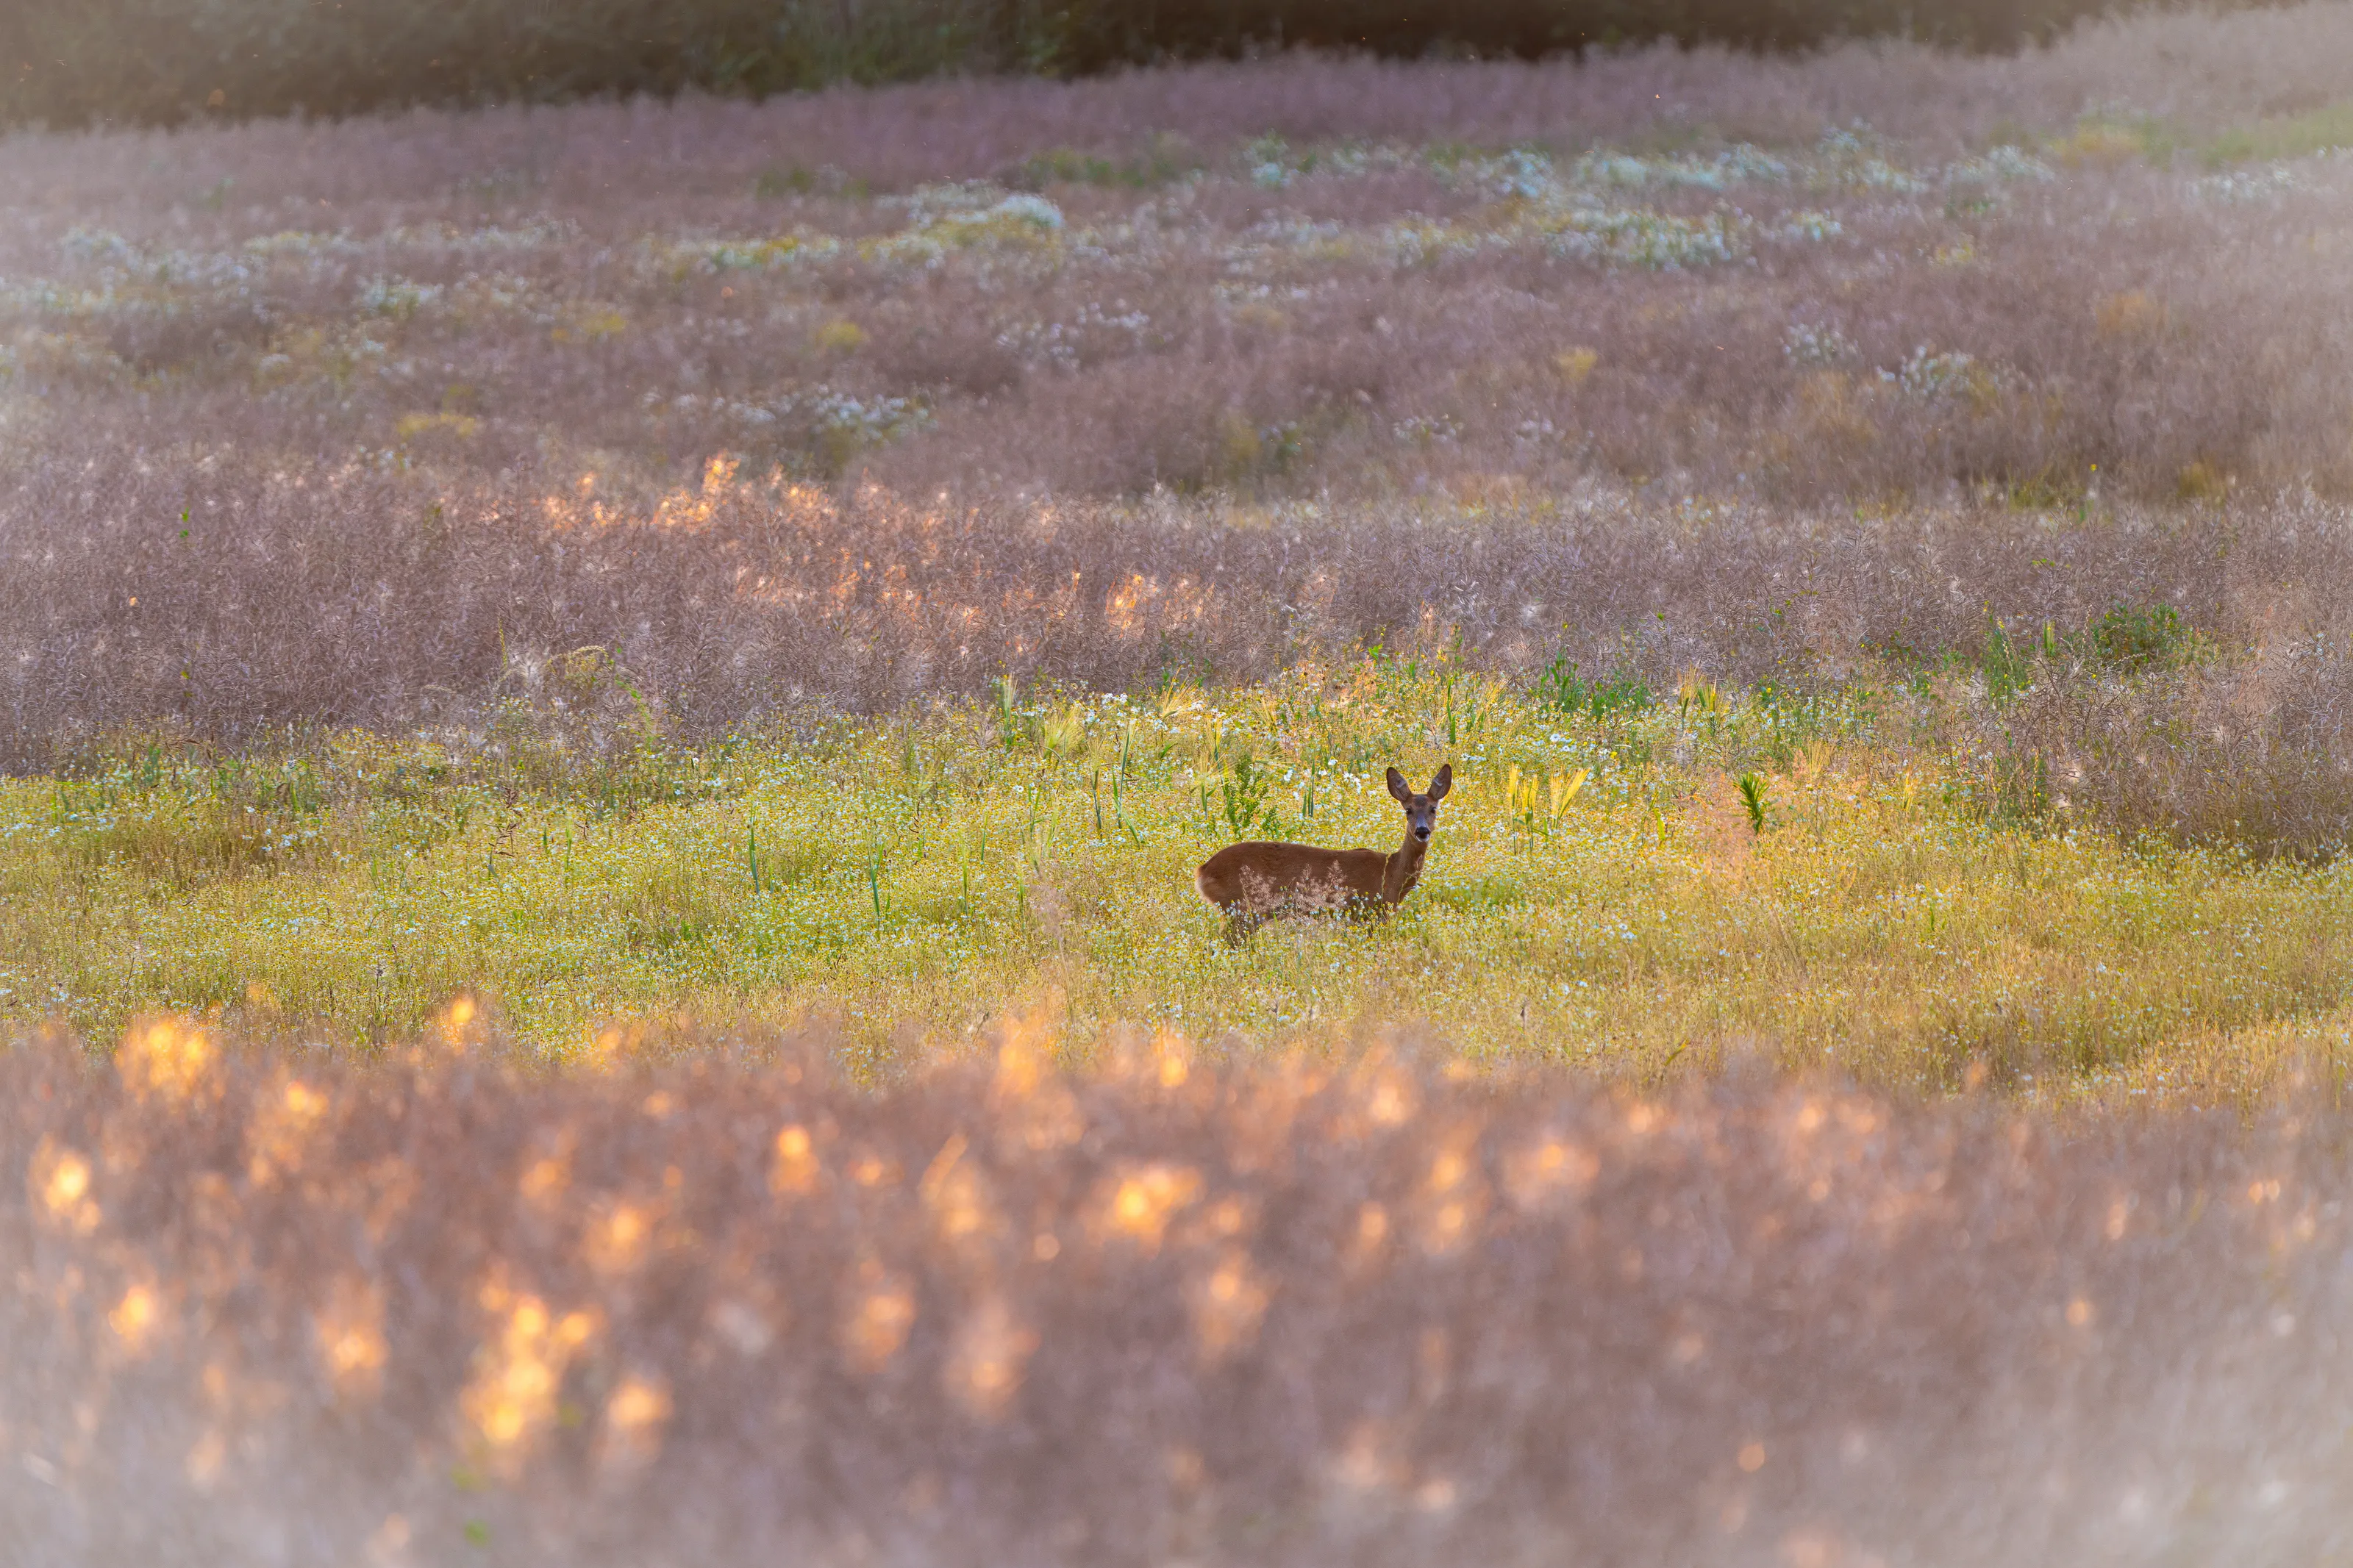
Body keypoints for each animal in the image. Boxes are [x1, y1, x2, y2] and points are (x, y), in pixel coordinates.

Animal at [1195, 765, 1452, 940]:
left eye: (1433, 809)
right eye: (1408, 810)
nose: (1422, 831)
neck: (1392, 875)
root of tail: (1202, 871)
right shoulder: (1368, 912)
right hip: (1240, 909)